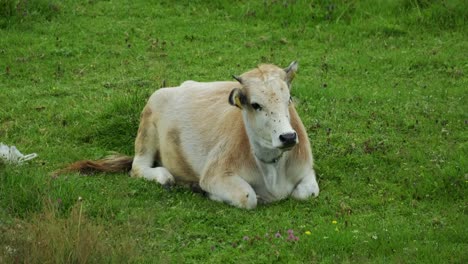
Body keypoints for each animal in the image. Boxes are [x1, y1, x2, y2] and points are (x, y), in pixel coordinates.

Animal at [59, 62, 318, 208]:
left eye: (288, 99)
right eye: (255, 105)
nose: (288, 137)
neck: (272, 168)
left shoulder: (307, 171)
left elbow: (307, 193)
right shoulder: (214, 175)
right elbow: (248, 197)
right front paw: (207, 194)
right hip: (147, 129)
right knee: (138, 167)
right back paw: (164, 176)